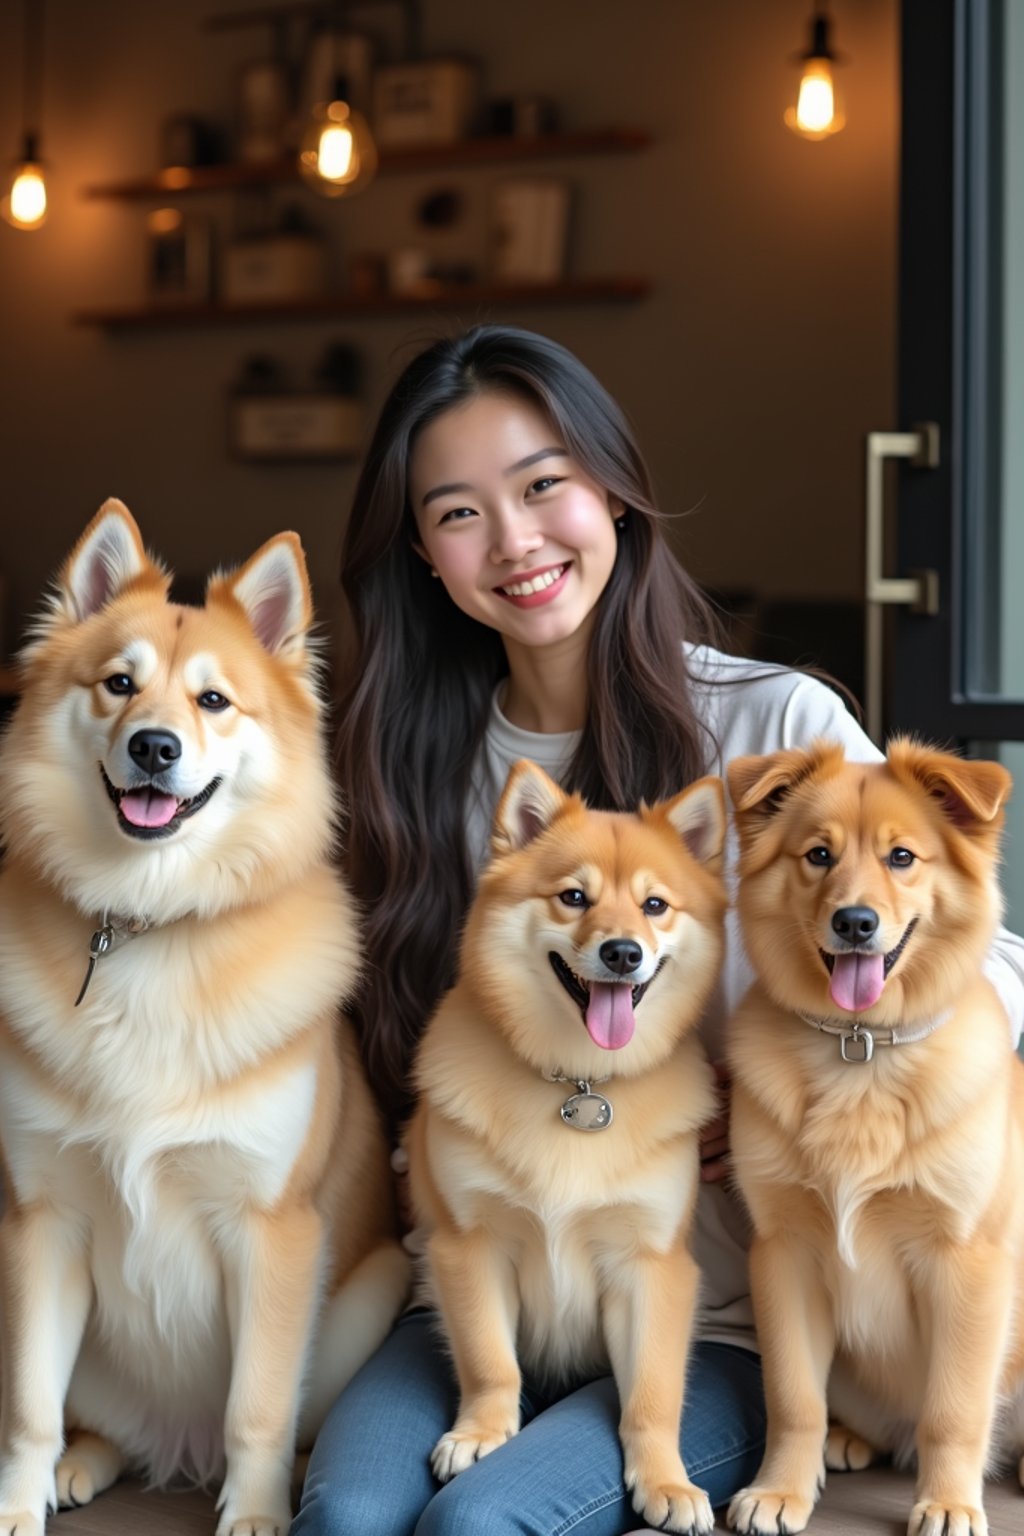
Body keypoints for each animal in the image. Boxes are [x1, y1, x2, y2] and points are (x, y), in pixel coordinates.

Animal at [0, 503, 408, 1536]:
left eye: (214, 702)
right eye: (118, 684)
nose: (154, 747)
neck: (151, 925)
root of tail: (174, 1451)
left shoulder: (272, 1230)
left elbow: (255, 1408)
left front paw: (255, 1514)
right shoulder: (40, 1223)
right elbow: (27, 1404)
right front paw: (16, 1503)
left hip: (369, 1296)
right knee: (96, 1423)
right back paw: (87, 1461)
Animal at [408, 758, 727, 1536]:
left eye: (654, 905)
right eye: (573, 897)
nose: (622, 952)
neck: (578, 1079)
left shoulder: (652, 1266)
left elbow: (652, 1394)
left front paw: (665, 1479)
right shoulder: (470, 1246)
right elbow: (490, 1361)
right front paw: (482, 1431)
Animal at [721, 737, 1024, 1536]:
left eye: (903, 857)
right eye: (818, 855)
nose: (855, 923)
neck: (860, 1050)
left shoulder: (967, 1262)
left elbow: (954, 1409)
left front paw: (948, 1502)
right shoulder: (784, 1253)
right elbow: (793, 1396)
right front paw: (781, 1490)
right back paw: (850, 1437)